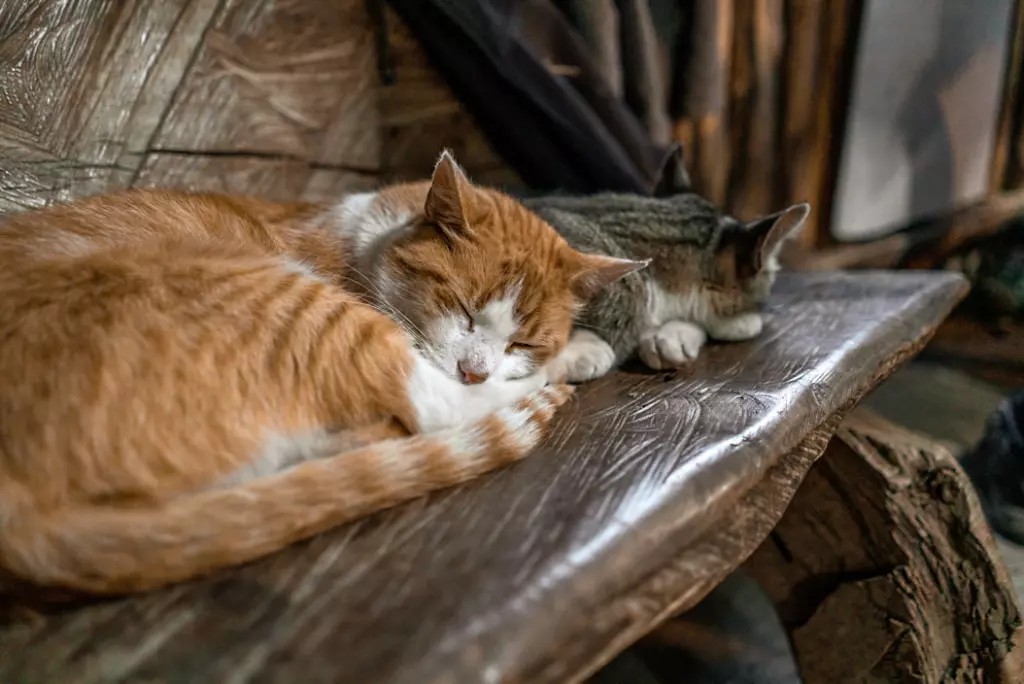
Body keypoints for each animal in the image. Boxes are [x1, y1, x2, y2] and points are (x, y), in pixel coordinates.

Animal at [0, 152, 643, 593]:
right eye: (462, 309)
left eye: (520, 340)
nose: (475, 370)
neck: (362, 236)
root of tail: (22, 514)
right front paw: (572, 355)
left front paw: (570, 348)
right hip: (285, 302)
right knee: (433, 408)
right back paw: (536, 390)